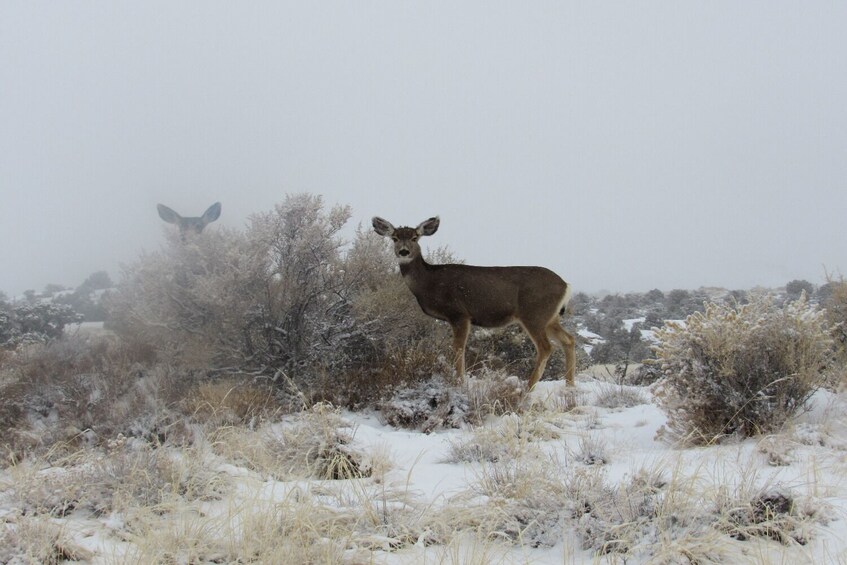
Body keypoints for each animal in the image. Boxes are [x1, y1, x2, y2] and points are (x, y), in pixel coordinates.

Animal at [374, 214, 580, 390]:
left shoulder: (459, 313)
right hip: (550, 318)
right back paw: (569, 386)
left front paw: (459, 382)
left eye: (415, 237)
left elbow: (458, 348)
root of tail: (566, 285)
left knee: (546, 347)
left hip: (534, 314)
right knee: (569, 339)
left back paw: (527, 389)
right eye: (394, 238)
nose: (403, 251)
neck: (430, 283)